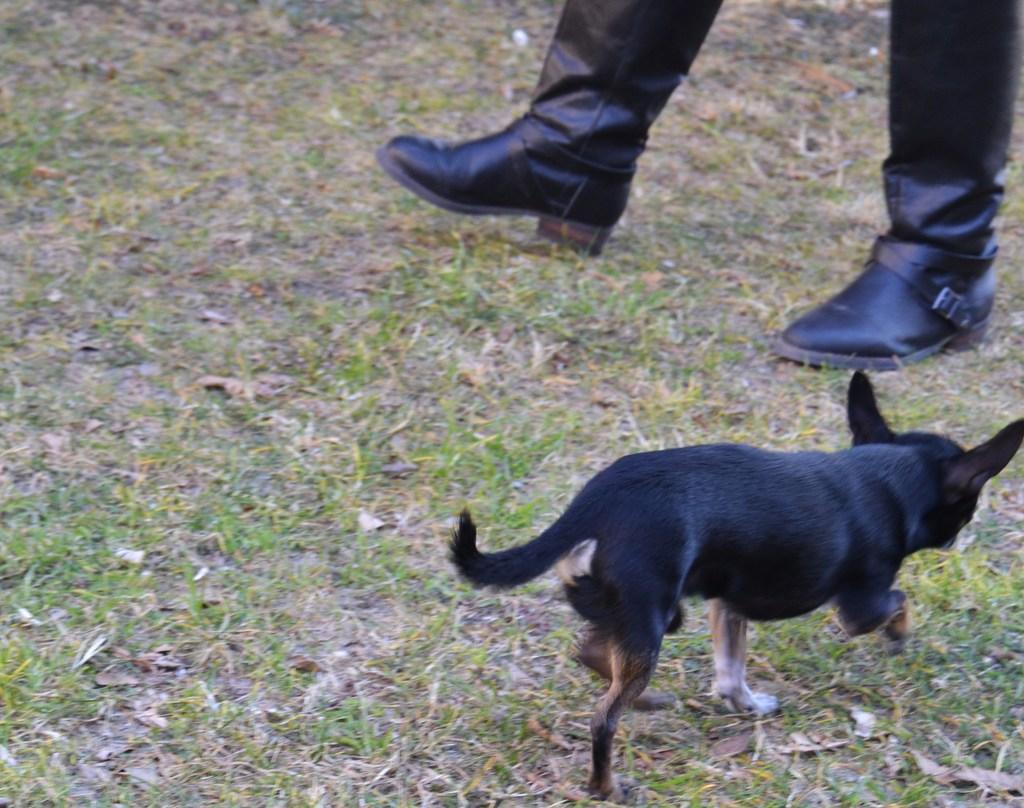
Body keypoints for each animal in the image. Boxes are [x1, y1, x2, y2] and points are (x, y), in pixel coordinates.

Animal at [450, 372, 1024, 798]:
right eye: (966, 507)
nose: (960, 533)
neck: (887, 474)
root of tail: (590, 507)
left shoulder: (727, 603)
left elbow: (730, 672)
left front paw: (746, 706)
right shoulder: (861, 606)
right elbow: (899, 601)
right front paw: (900, 633)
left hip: (651, 614)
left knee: (594, 653)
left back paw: (647, 700)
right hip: (651, 617)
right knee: (602, 719)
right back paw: (606, 784)